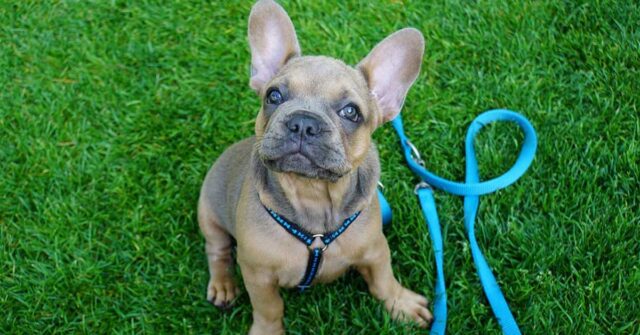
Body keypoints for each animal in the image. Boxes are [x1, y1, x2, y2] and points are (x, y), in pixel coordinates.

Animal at [198, 1, 432, 334]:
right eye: (273, 95)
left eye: (351, 112)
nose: (303, 122)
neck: (313, 195)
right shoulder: (257, 274)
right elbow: (269, 307)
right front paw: (267, 330)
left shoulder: (376, 250)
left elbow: (384, 281)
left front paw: (401, 304)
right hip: (209, 214)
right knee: (216, 251)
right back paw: (223, 285)